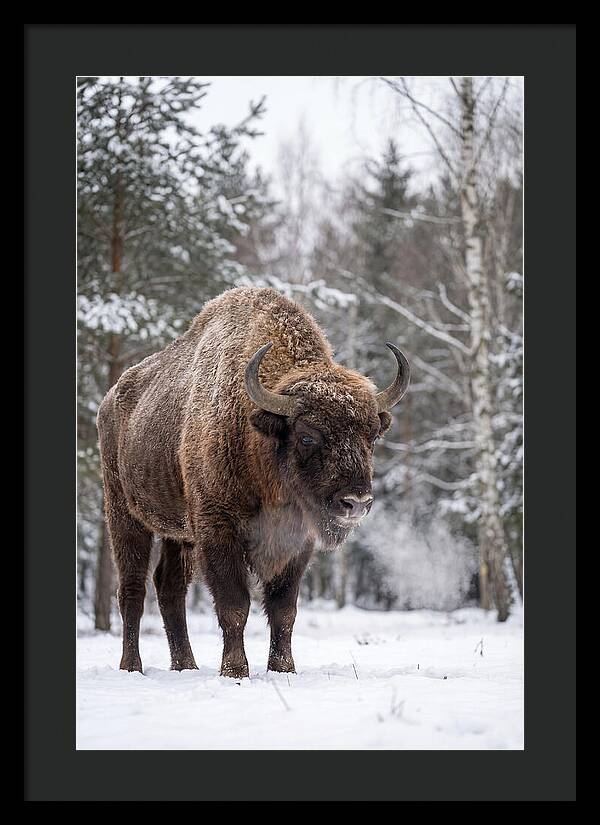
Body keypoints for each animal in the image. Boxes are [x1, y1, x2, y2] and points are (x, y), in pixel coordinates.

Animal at [97, 287, 410, 678]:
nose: (356, 502)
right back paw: (132, 667)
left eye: (371, 436)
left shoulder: (297, 541)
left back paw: (186, 666)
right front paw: (234, 671)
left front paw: (283, 669)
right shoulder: (217, 531)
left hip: (178, 533)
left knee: (169, 588)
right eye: (307, 436)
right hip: (125, 514)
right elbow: (235, 605)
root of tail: (110, 400)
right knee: (133, 590)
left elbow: (283, 609)